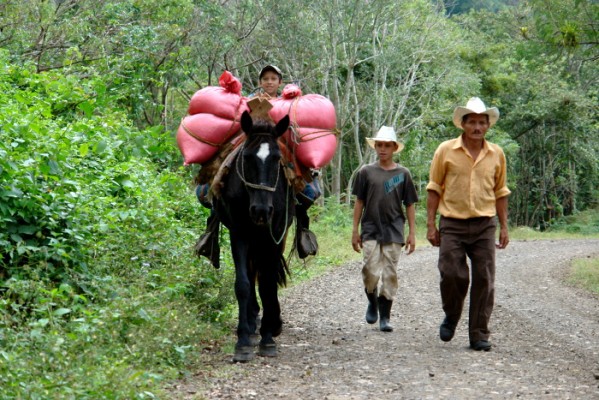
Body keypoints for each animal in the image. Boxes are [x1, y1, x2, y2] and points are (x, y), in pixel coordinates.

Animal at [214, 110, 294, 362]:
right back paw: (251, 322)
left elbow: (268, 284)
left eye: (277, 158)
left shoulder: (274, 234)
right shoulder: (239, 233)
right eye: (247, 157)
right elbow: (243, 284)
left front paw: (268, 337)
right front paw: (242, 341)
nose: (261, 211)